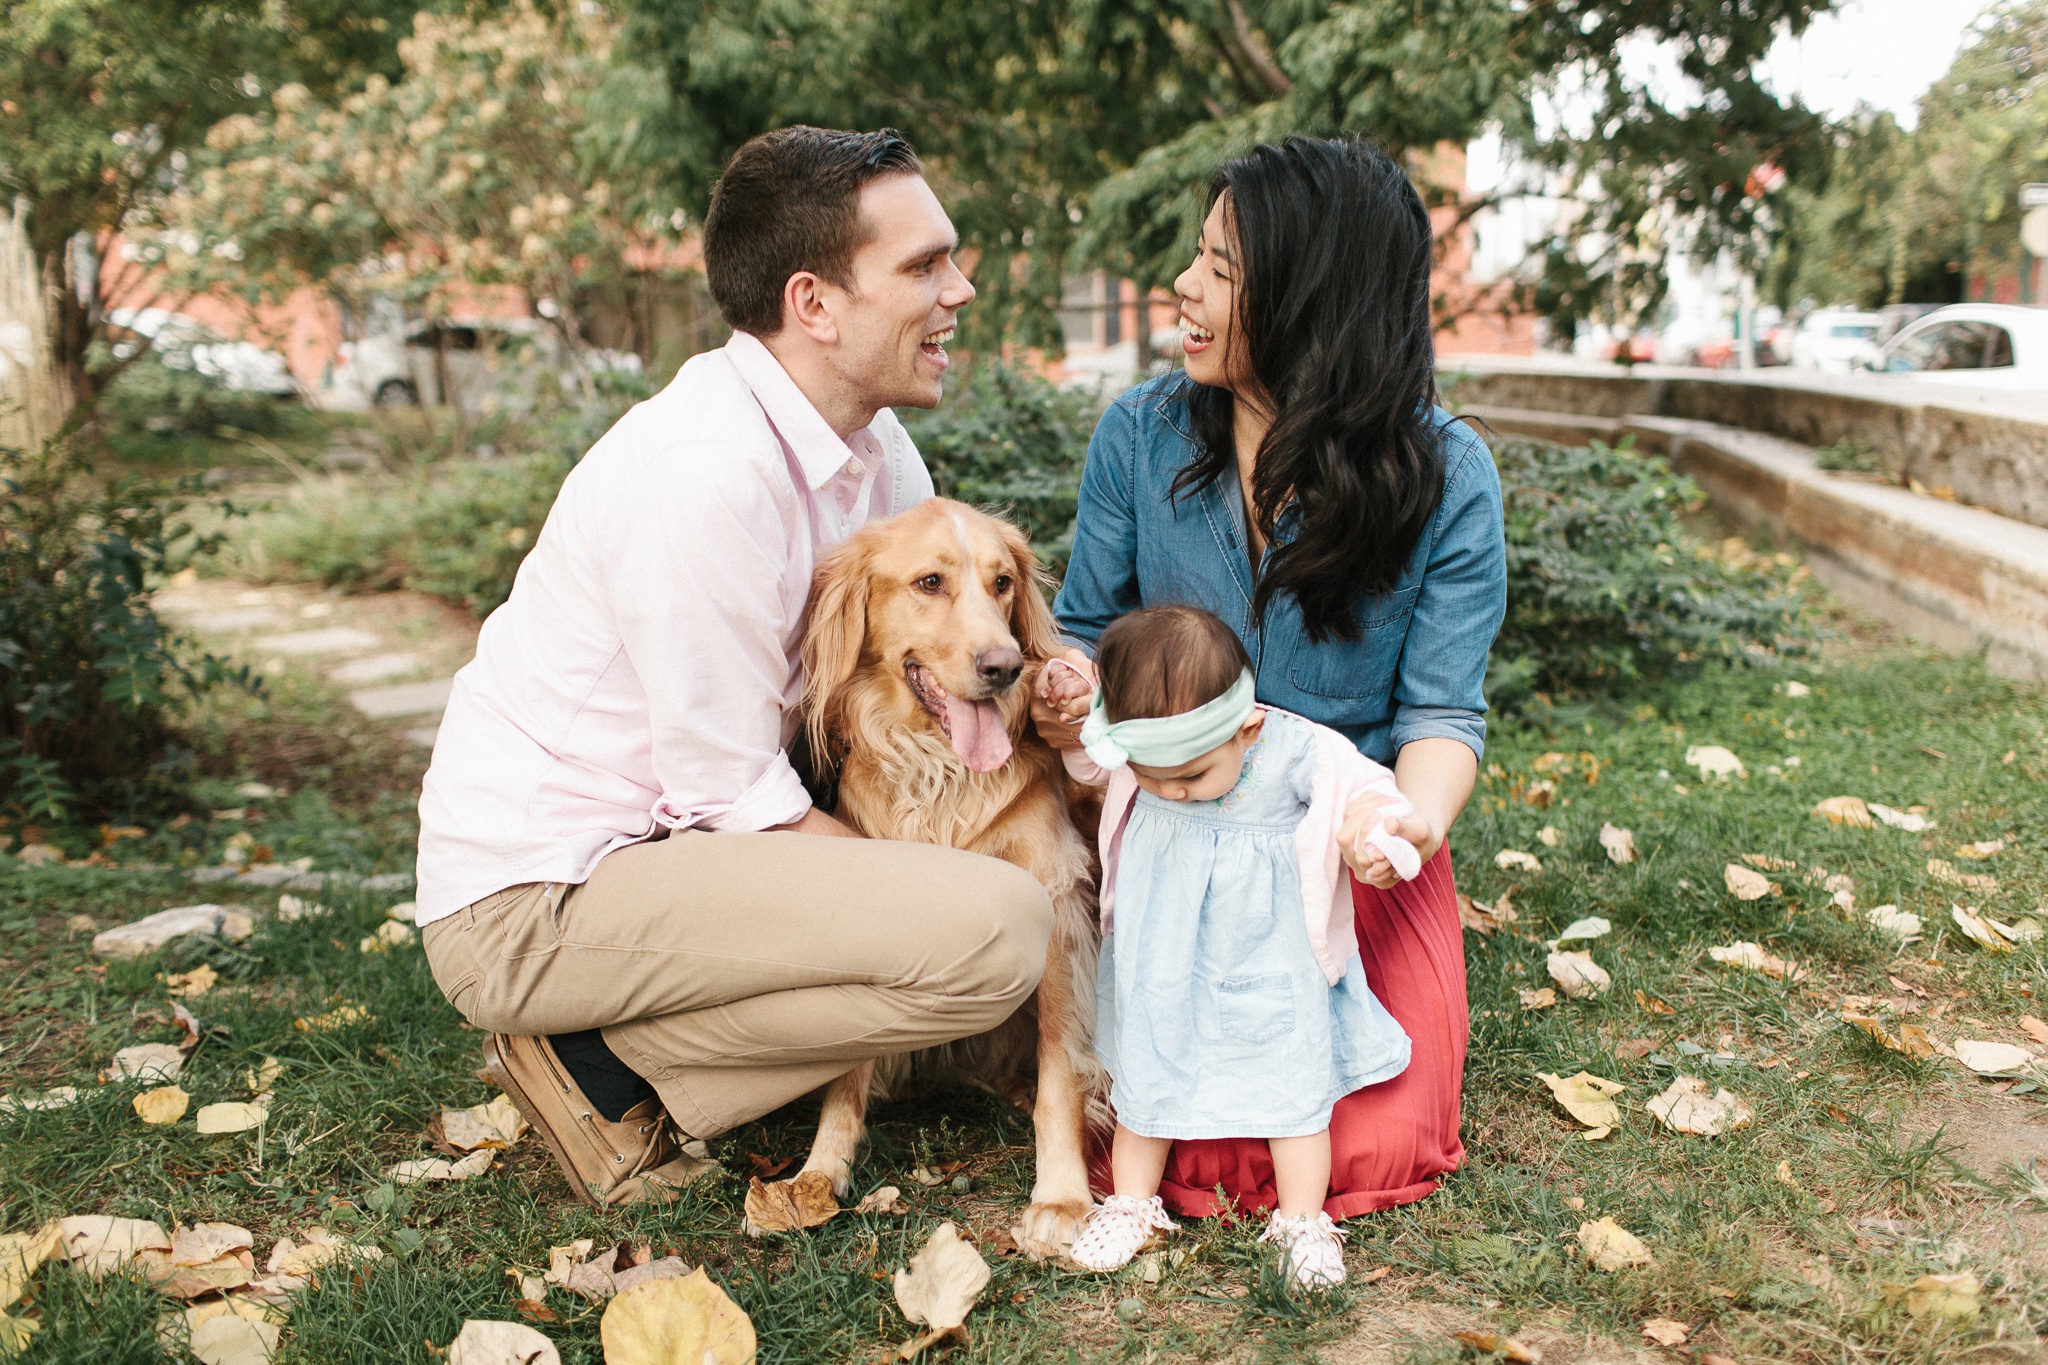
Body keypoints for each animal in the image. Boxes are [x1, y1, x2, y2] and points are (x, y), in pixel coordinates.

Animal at [790, 493, 1105, 1260]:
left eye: (1003, 583)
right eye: (929, 583)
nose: (1006, 665)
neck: (942, 772)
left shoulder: (1054, 903)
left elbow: (1061, 1068)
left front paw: (1061, 1197)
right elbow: (846, 1071)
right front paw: (820, 1168)